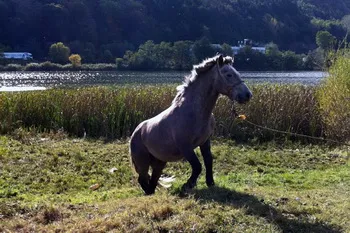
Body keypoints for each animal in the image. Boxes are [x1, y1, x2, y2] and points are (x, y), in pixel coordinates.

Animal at [129, 54, 252, 195]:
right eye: (229, 75)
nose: (248, 95)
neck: (195, 112)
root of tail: (135, 133)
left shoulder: (205, 142)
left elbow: (208, 161)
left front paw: (210, 183)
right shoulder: (185, 146)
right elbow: (197, 166)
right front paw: (188, 185)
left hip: (159, 162)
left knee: (153, 179)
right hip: (142, 162)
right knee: (142, 179)